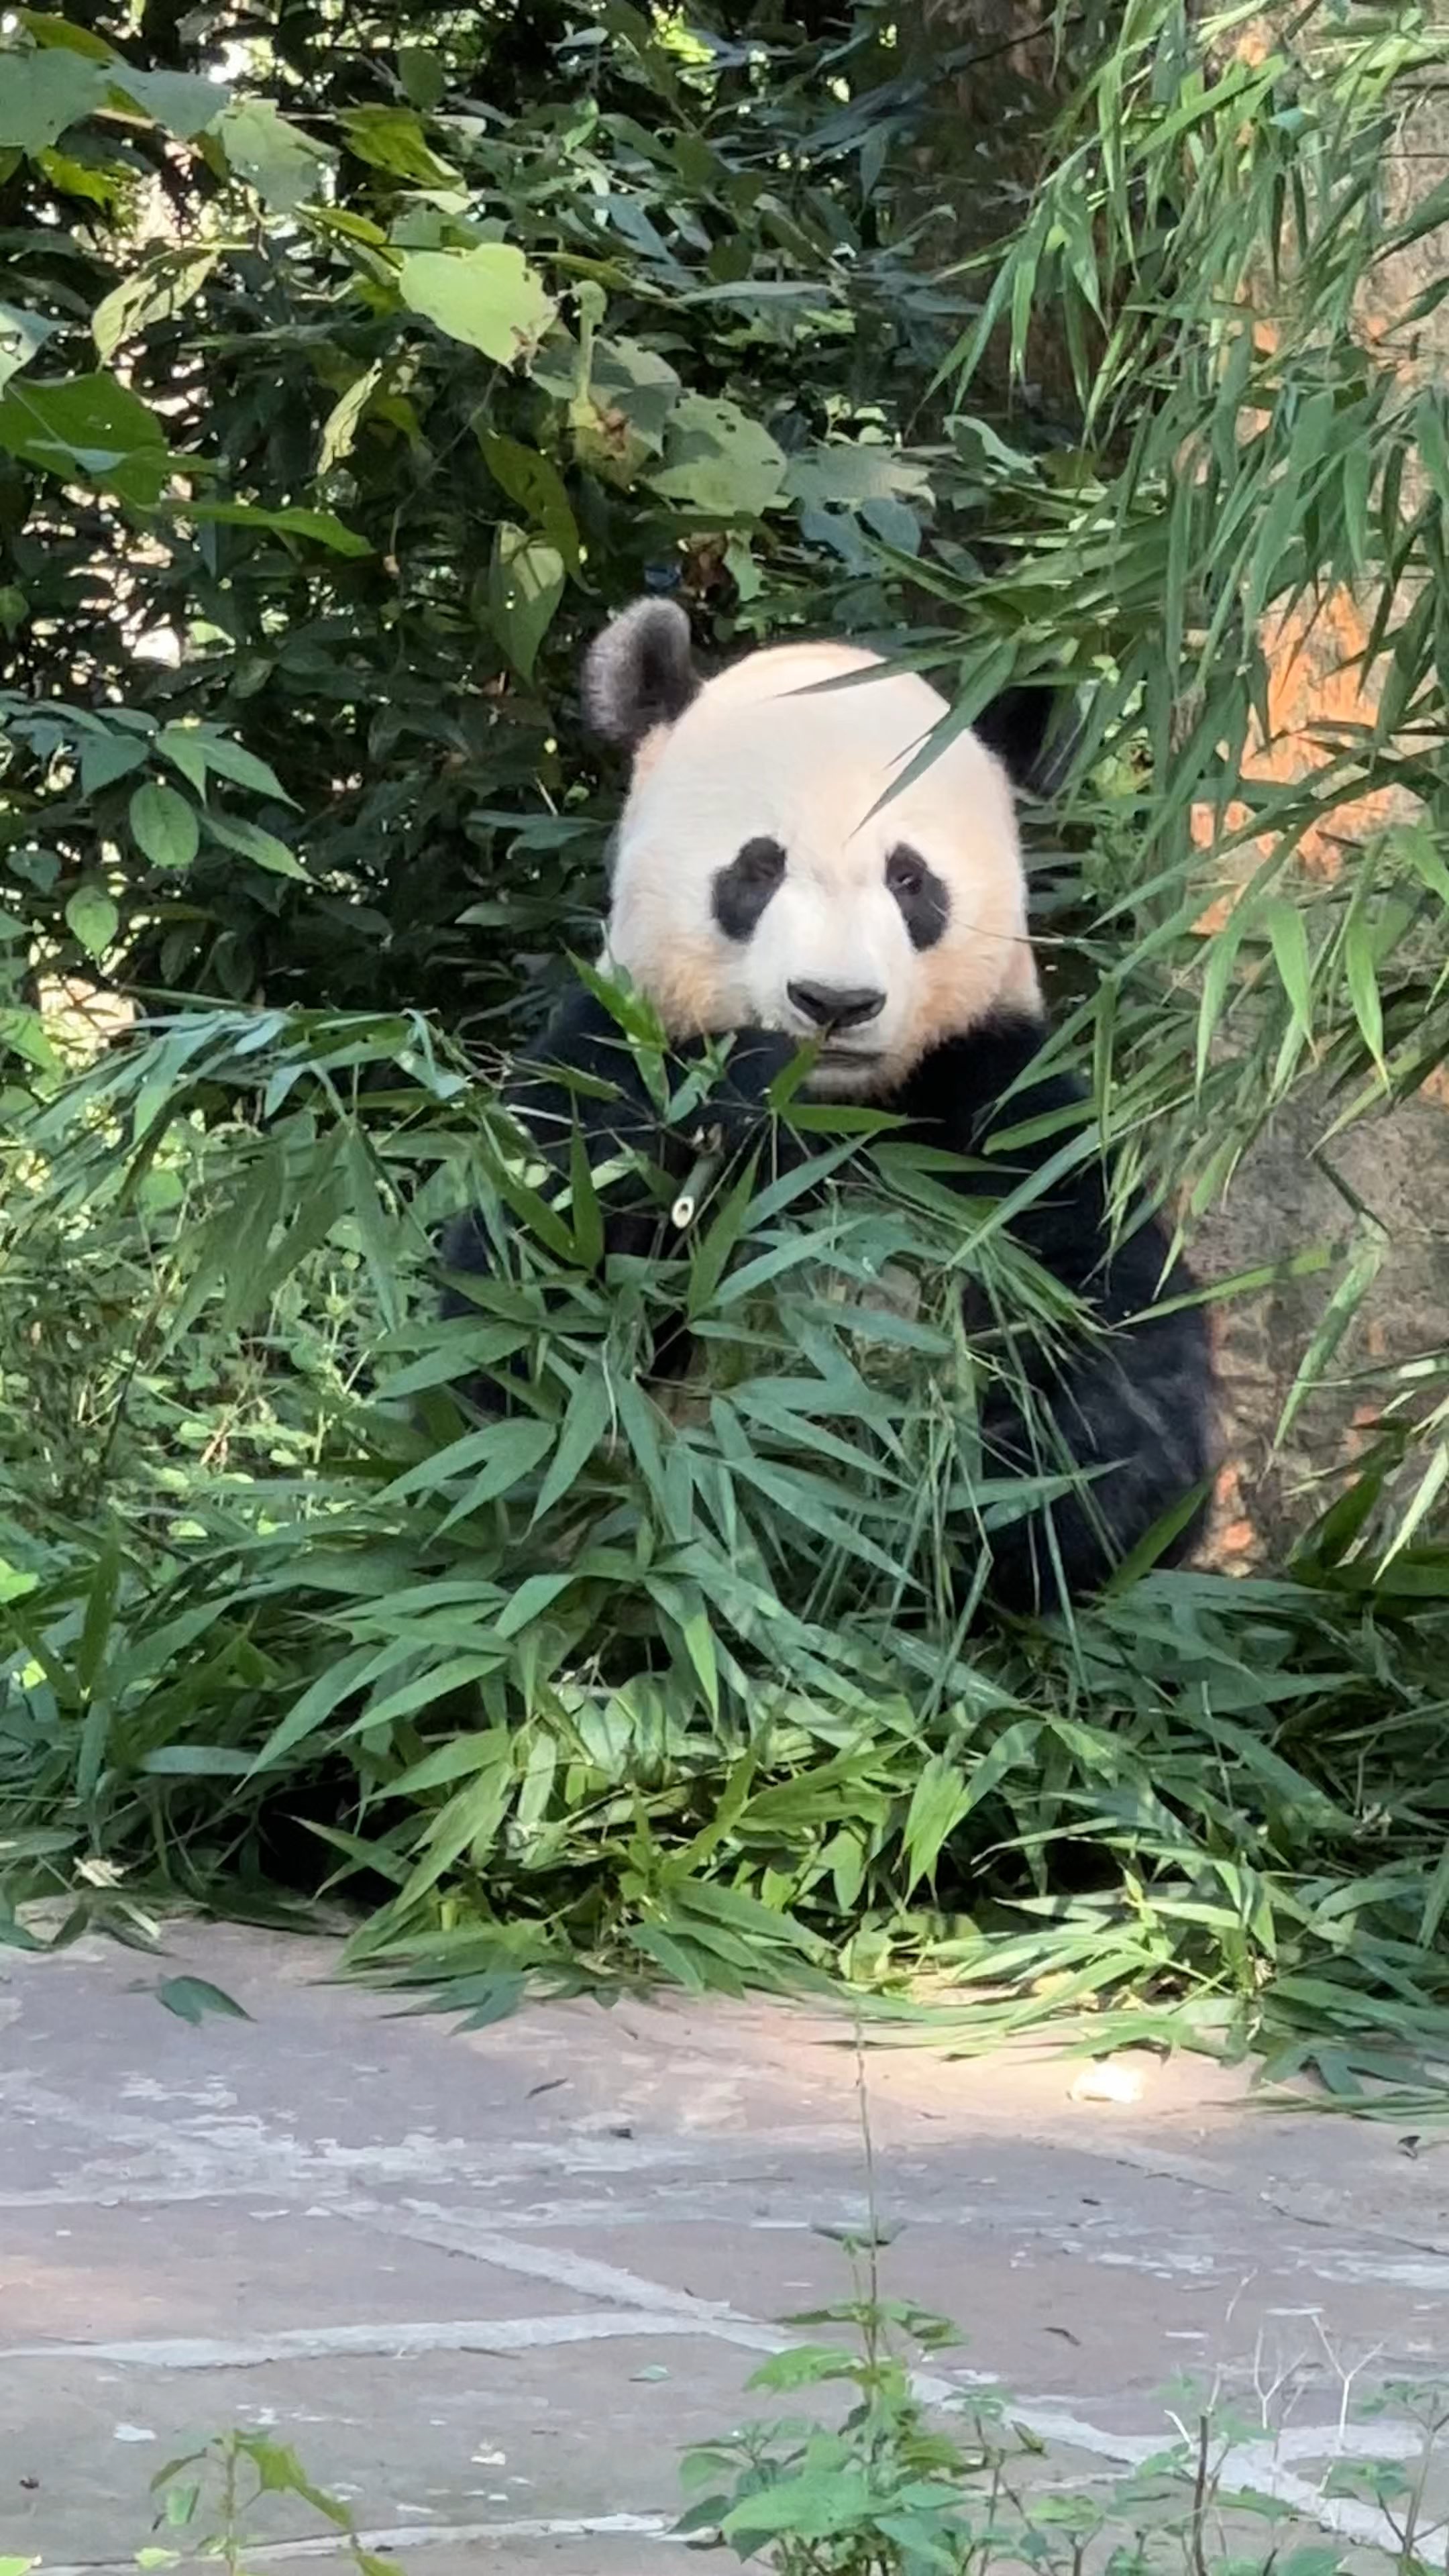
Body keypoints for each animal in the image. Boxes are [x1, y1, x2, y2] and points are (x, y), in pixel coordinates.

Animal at [441, 602, 1206, 1607]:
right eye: (758, 869)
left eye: (911, 879)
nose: (834, 1003)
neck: (836, 1109)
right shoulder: (609, 1054)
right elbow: (525, 1329)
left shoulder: (998, 1096)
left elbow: (1111, 1338)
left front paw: (1027, 1517)